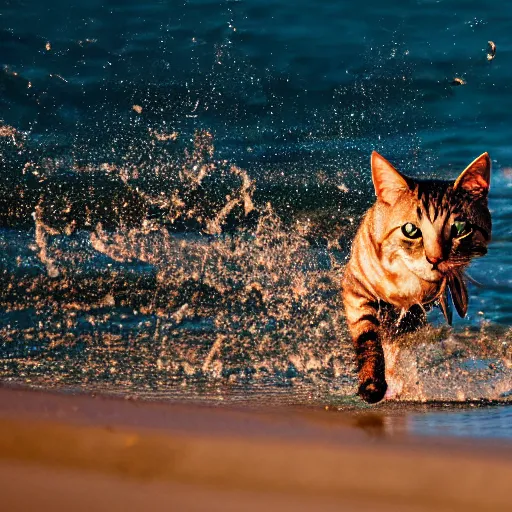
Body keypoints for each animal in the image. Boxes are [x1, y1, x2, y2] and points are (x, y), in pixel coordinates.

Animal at [342, 152, 490, 404]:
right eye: (410, 230)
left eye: (460, 228)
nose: (435, 258)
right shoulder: (356, 287)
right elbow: (368, 338)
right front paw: (372, 383)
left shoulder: (418, 308)